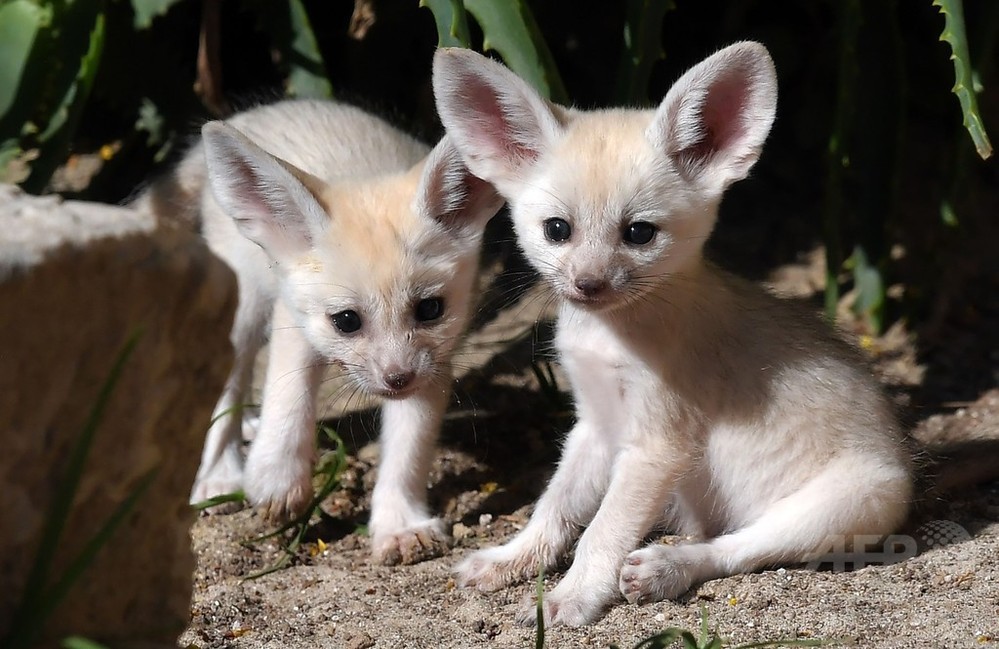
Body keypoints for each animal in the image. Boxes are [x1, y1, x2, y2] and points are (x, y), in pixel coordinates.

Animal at [138, 100, 504, 560]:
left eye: (430, 309)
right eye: (346, 321)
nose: (397, 379)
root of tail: (263, 111)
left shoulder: (435, 361)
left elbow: (409, 448)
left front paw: (399, 525)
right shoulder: (293, 315)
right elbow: (288, 393)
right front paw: (278, 479)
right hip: (244, 307)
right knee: (230, 386)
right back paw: (220, 472)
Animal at [430, 44, 916, 624]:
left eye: (639, 233)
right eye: (557, 230)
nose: (587, 285)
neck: (611, 335)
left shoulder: (657, 446)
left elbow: (601, 532)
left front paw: (573, 595)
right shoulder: (595, 425)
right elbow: (553, 507)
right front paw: (513, 559)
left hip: (838, 507)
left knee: (736, 548)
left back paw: (668, 567)